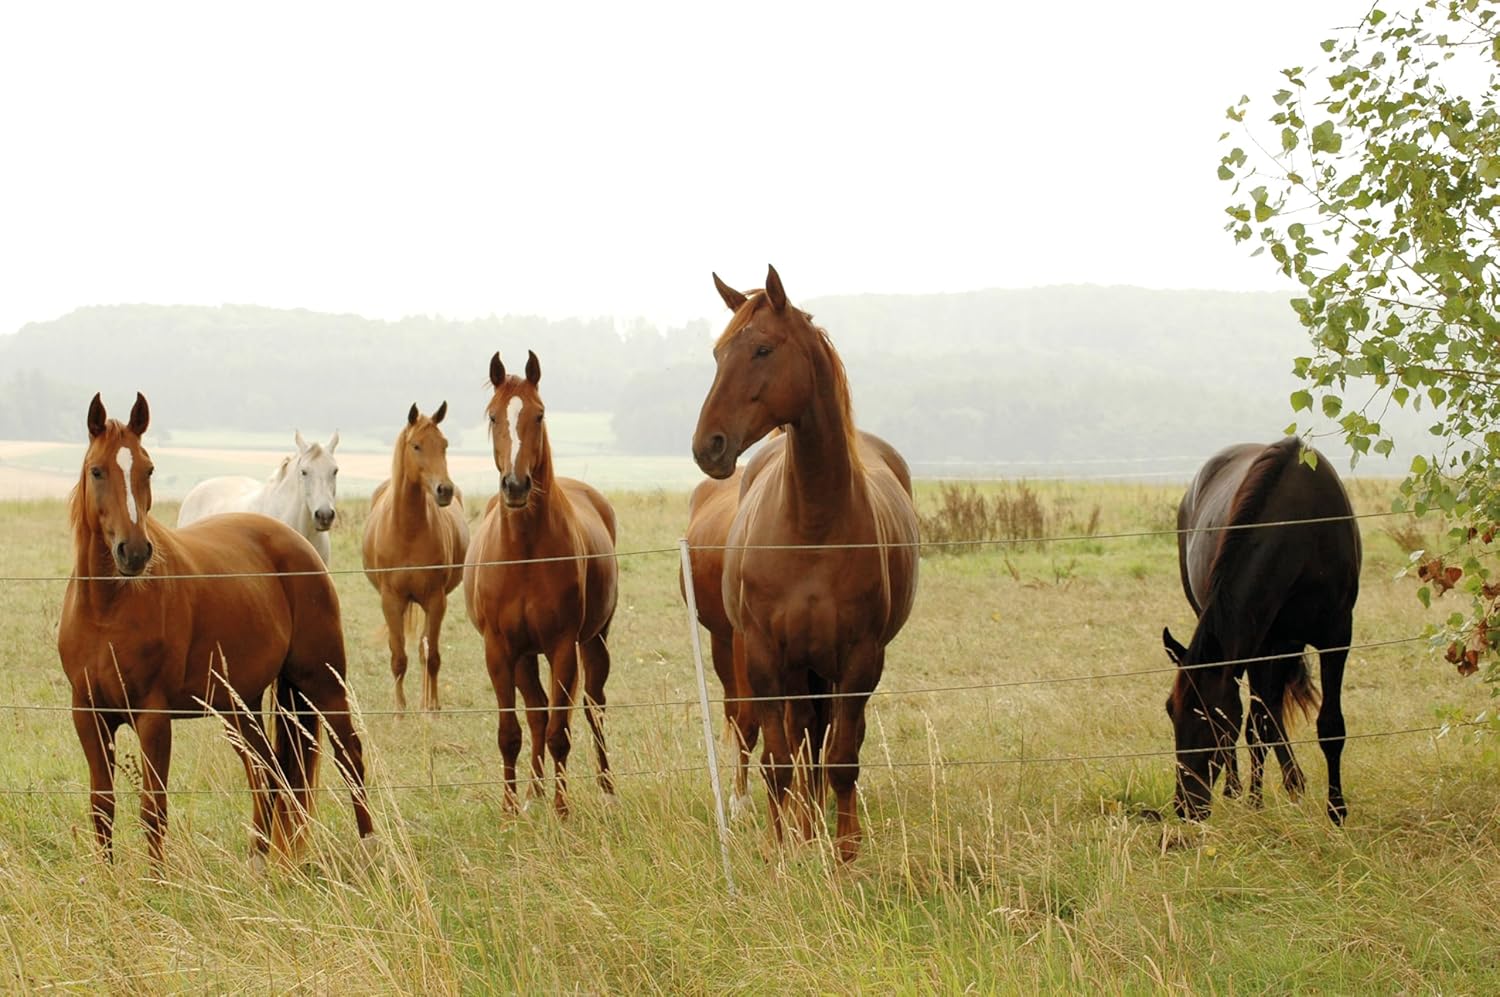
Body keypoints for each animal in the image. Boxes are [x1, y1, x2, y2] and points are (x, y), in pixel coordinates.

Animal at [361, 403, 469, 712]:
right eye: (416, 445)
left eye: (444, 444)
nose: (444, 490)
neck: (407, 530)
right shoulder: (391, 600)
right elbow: (398, 658)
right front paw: (399, 712)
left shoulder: (435, 599)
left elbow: (431, 657)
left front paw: (432, 710)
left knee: (424, 650)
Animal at [464, 351, 618, 815]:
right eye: (493, 415)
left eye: (539, 414)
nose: (516, 486)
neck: (527, 552)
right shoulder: (499, 650)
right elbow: (511, 732)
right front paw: (511, 809)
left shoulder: (563, 646)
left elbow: (559, 732)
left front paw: (563, 811)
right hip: (524, 656)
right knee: (535, 712)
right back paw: (533, 792)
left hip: (595, 642)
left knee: (593, 707)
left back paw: (606, 790)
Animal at [691, 266, 920, 862]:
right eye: (718, 353)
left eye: (763, 349)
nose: (708, 446)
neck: (812, 524)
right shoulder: (767, 656)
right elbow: (778, 761)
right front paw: (782, 853)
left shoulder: (860, 659)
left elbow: (842, 760)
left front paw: (845, 854)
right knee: (800, 739)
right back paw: (802, 825)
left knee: (827, 740)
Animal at [1162, 437, 1361, 824]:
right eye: (1169, 710)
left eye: (1214, 718)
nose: (1186, 805)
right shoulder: (1262, 642)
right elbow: (1257, 725)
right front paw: (1255, 801)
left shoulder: (1335, 637)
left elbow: (1330, 726)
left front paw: (1337, 810)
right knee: (1264, 713)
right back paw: (1243, 786)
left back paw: (1293, 783)